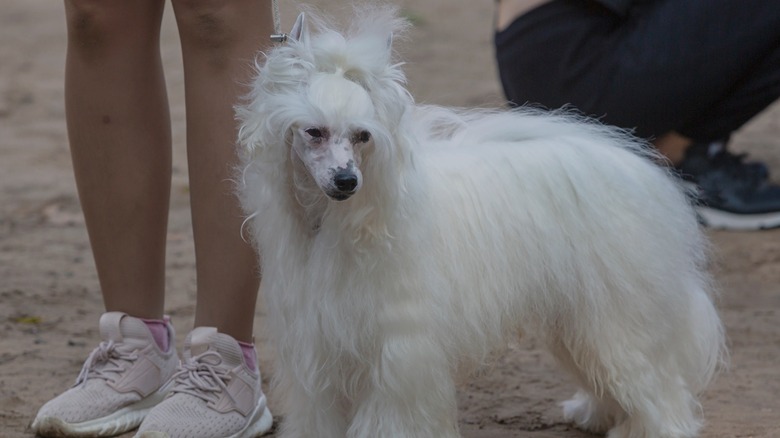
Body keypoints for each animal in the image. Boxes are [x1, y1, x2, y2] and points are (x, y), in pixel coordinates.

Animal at [236, 5, 724, 436]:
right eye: (313, 132)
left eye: (363, 135)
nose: (346, 180)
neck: (335, 222)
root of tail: (644, 172)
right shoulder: (317, 352)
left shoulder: (399, 355)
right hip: (576, 318)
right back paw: (596, 415)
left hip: (617, 319)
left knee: (662, 395)